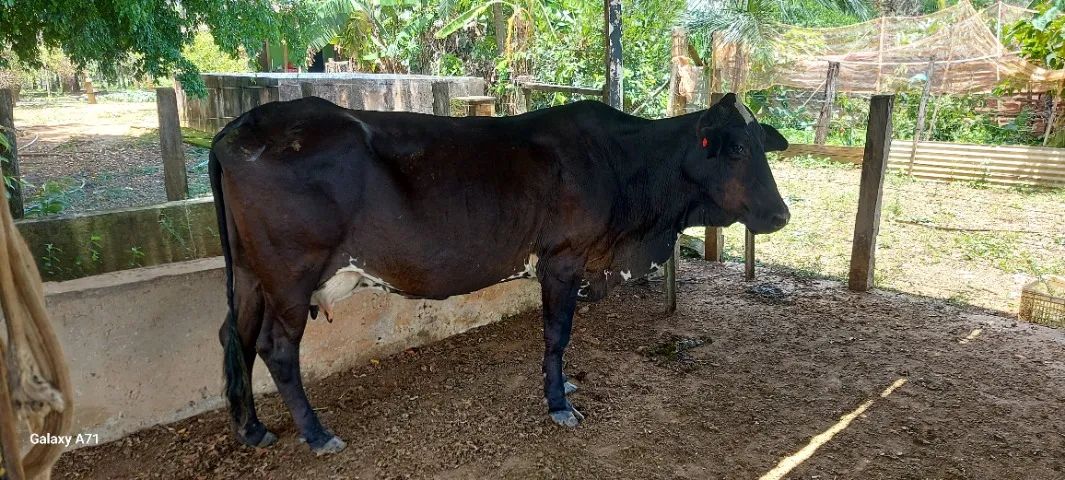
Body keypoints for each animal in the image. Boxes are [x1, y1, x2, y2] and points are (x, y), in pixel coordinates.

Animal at [210, 92, 790, 455]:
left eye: (762, 146)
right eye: (736, 148)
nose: (780, 215)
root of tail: (240, 127)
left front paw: (564, 387)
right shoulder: (562, 258)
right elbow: (557, 334)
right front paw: (558, 403)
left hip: (249, 275)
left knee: (235, 334)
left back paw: (251, 429)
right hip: (291, 274)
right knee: (276, 348)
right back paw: (316, 434)